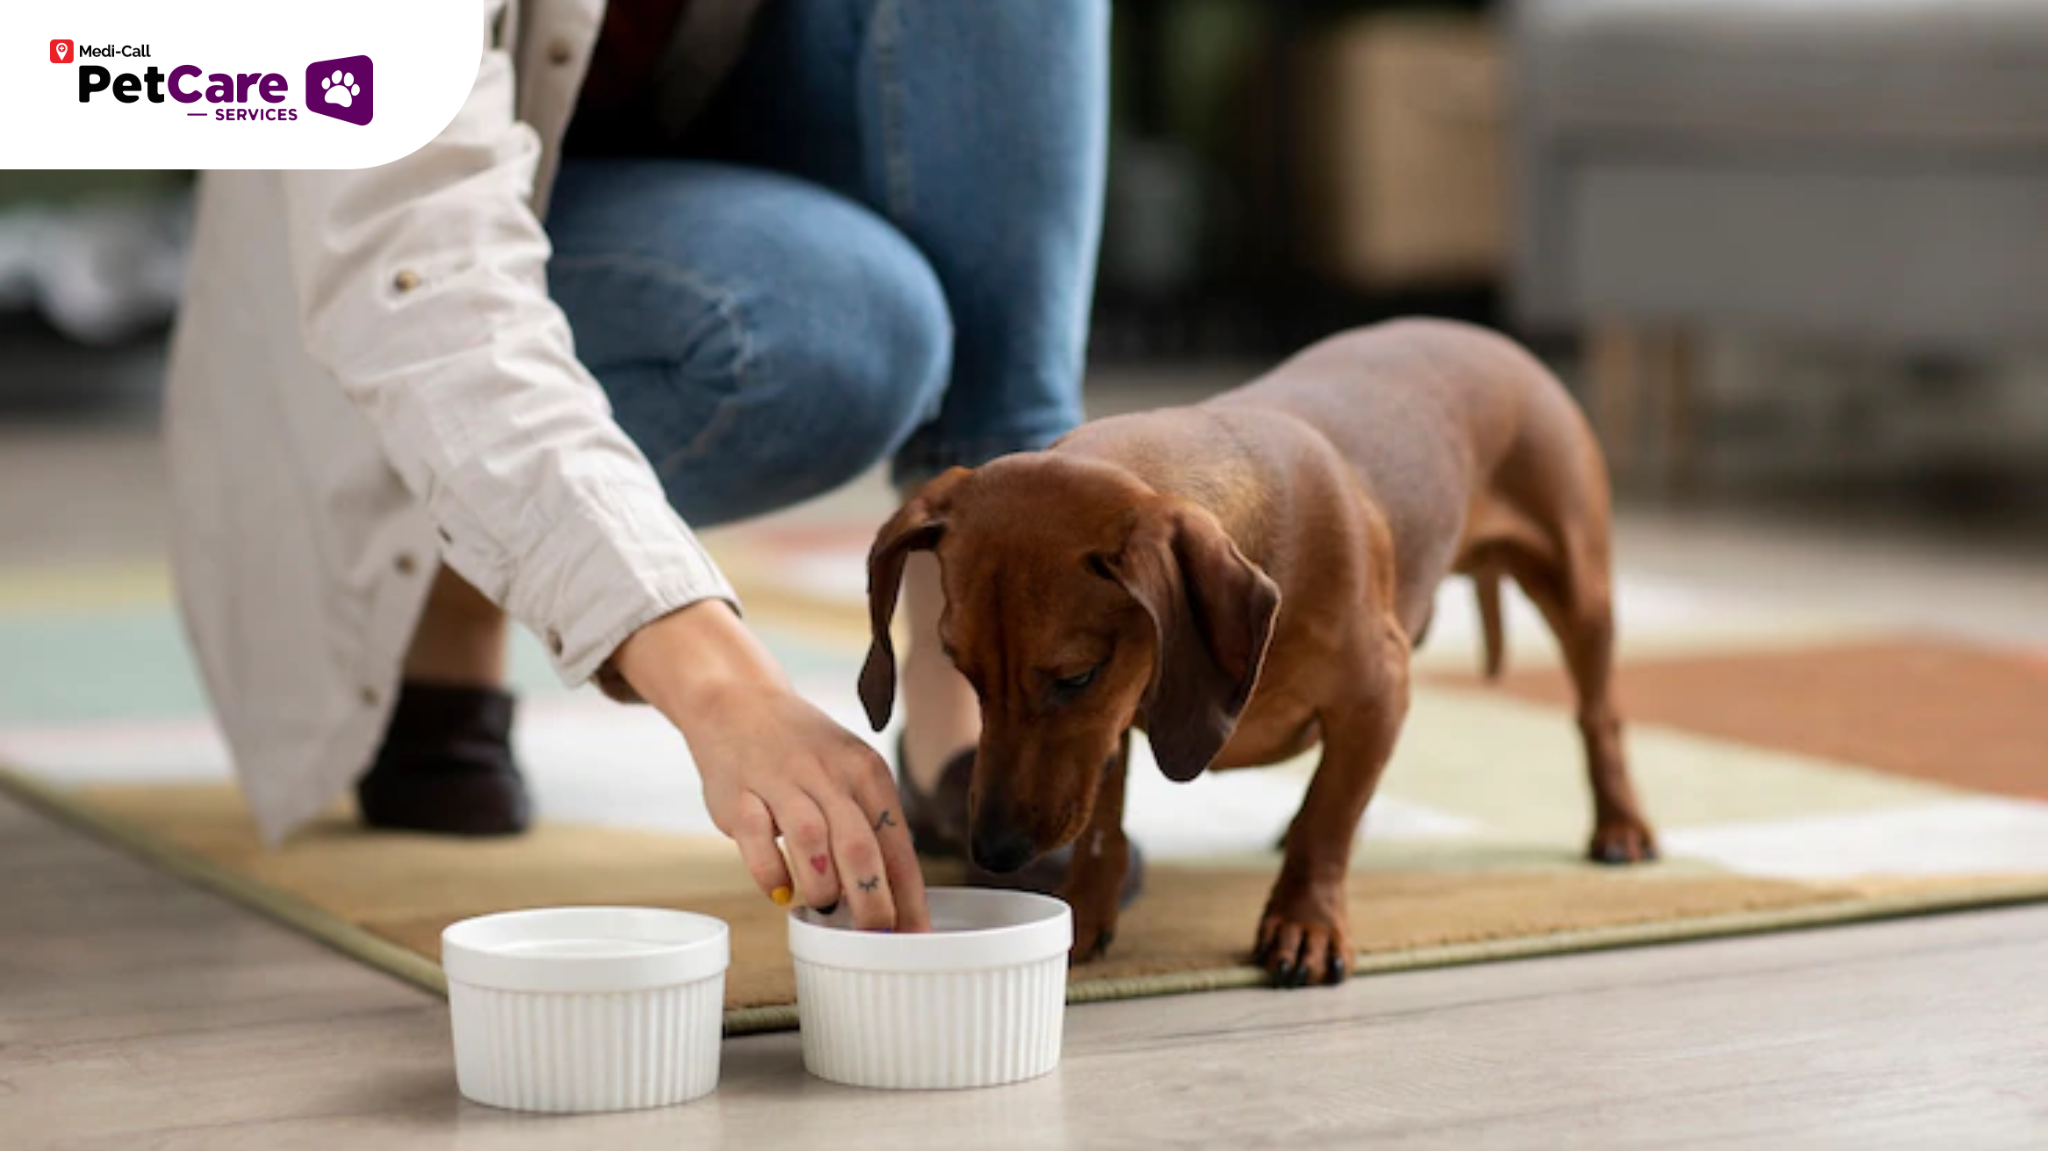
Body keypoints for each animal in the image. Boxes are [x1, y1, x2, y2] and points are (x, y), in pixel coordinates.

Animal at [856, 317, 1654, 983]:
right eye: (963, 669)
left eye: (1076, 675)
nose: (993, 852)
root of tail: (1487, 335)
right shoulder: (1115, 729)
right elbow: (1105, 827)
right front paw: (1086, 907)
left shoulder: (1378, 691)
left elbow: (1327, 821)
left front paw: (1306, 923)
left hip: (1578, 589)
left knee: (1598, 715)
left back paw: (1621, 824)